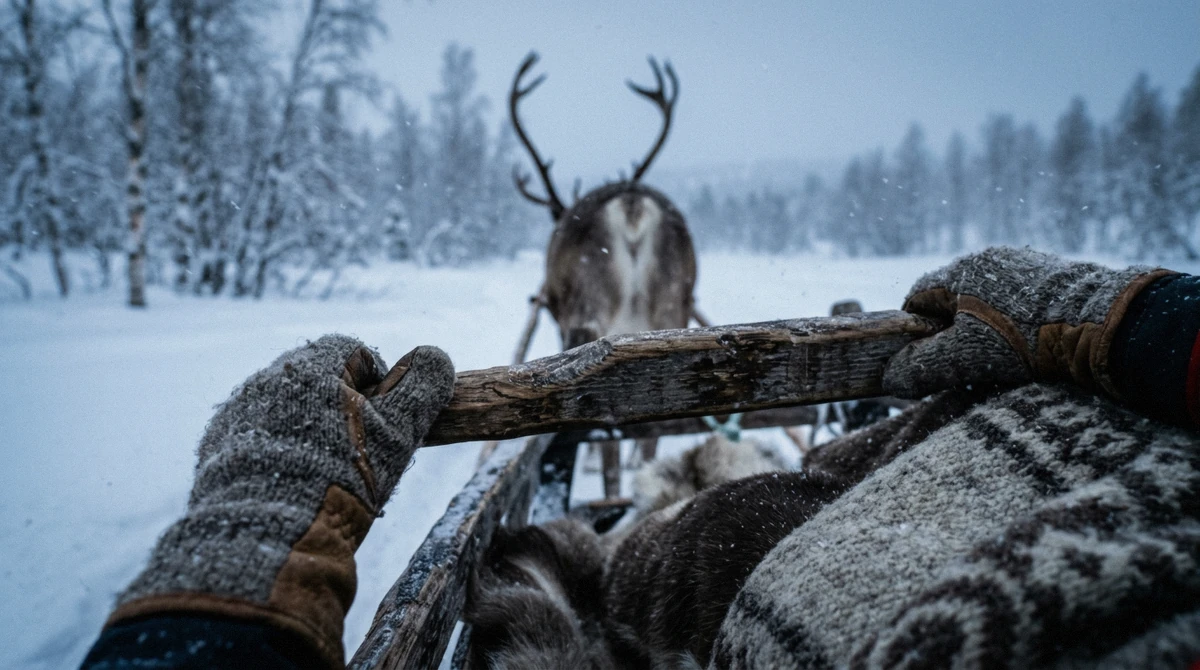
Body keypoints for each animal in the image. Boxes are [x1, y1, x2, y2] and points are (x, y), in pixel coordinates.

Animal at [506, 52, 703, 499]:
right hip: (673, 310)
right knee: (655, 423)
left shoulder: (565, 322)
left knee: (608, 414)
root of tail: (632, 206)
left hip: (595, 314)